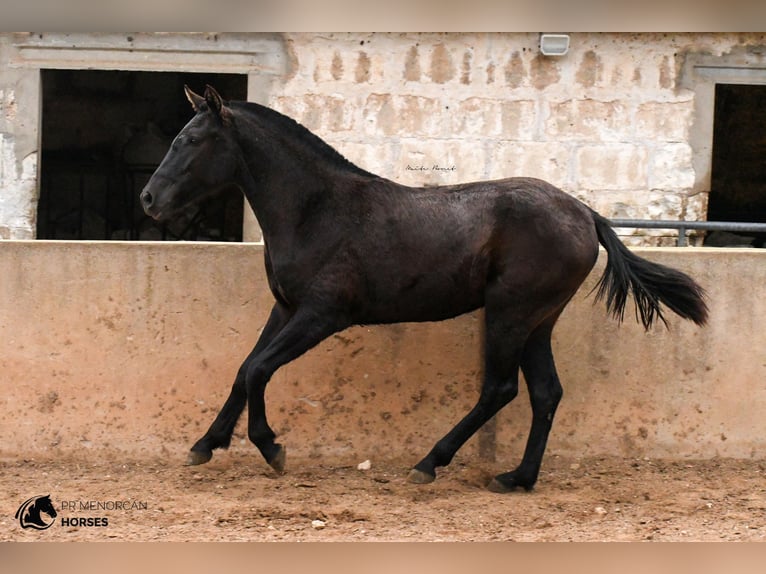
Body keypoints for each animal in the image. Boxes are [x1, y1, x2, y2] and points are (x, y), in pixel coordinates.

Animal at [140, 86, 708, 496]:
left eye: (189, 142)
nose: (148, 199)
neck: (316, 210)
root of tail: (586, 213)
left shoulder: (323, 315)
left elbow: (259, 369)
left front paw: (271, 449)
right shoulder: (285, 310)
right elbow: (244, 369)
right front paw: (205, 444)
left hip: (510, 312)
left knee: (501, 388)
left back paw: (429, 464)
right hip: (538, 321)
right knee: (546, 392)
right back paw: (516, 479)